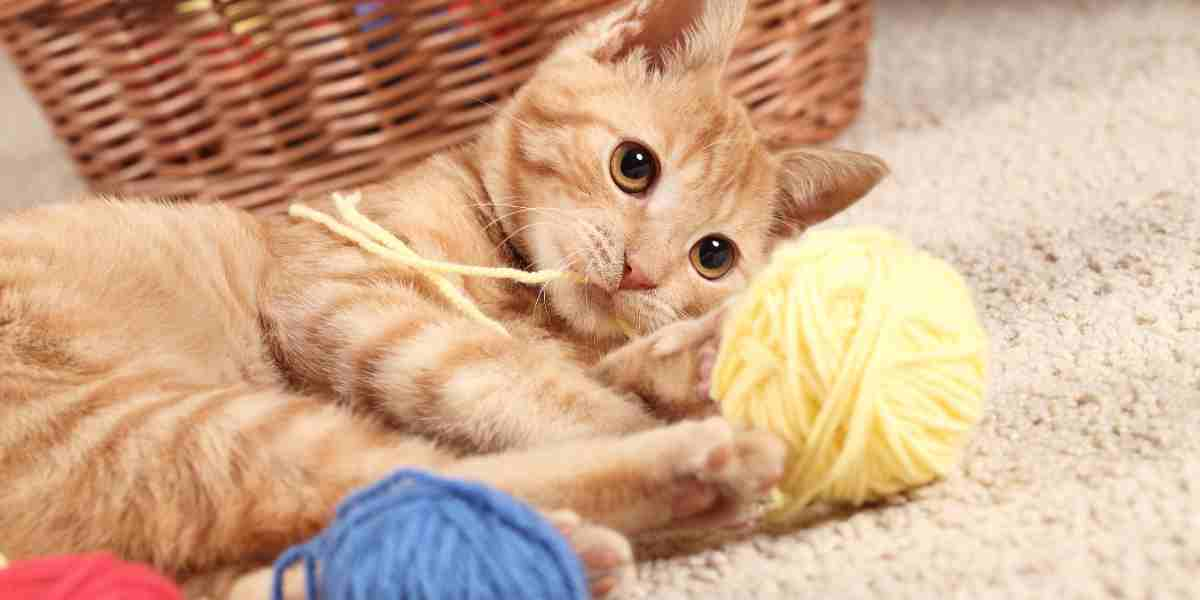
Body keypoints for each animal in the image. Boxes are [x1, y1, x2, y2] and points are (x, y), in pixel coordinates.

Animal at [0, 2, 883, 597]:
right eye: (634, 166)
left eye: (712, 256)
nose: (640, 271)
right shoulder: (345, 294)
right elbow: (529, 386)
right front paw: (669, 405)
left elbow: (590, 367)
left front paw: (688, 358)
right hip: (175, 428)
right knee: (412, 474)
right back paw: (701, 468)